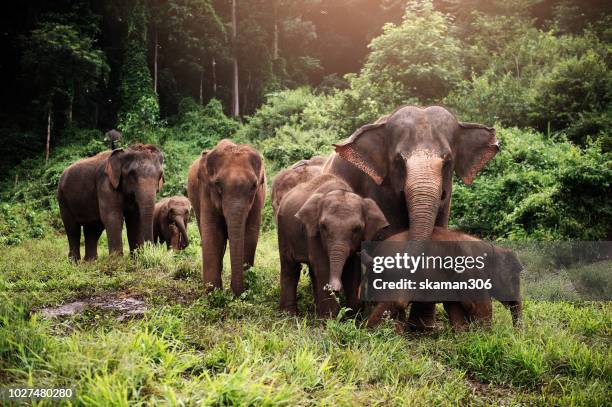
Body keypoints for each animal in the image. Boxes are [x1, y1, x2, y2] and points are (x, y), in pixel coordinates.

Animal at [185, 140, 264, 296]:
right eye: (217, 184)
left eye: (254, 185)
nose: (235, 292)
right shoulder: (206, 191)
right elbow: (213, 235)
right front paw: (213, 293)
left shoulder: (258, 196)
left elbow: (250, 235)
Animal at [278, 174, 388, 318]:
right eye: (323, 227)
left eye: (357, 229)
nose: (335, 288)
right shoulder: (313, 233)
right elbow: (323, 266)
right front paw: (329, 318)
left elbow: (352, 269)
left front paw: (352, 317)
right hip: (283, 231)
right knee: (290, 267)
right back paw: (289, 315)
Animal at [322, 105, 500, 328]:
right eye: (399, 160)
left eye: (448, 161)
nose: (400, 302)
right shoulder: (378, 187)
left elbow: (438, 230)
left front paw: (422, 328)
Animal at [366, 228, 524, 334]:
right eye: (515, 278)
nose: (517, 336)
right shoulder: (472, 270)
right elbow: (481, 306)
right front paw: (485, 337)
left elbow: (454, 306)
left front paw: (464, 337)